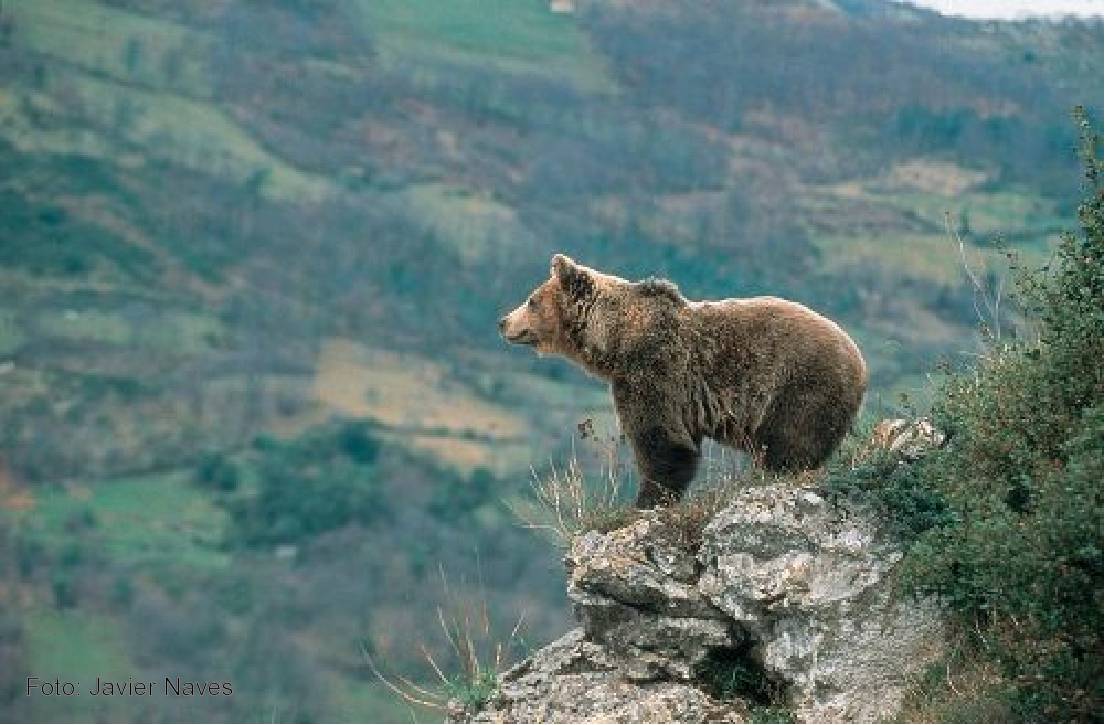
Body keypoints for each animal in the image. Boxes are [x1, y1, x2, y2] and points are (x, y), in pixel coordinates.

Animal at [501, 255, 870, 510]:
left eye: (531, 299)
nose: (502, 321)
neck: (615, 341)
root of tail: (860, 361)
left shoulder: (654, 372)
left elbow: (661, 441)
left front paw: (645, 502)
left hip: (800, 386)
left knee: (793, 444)